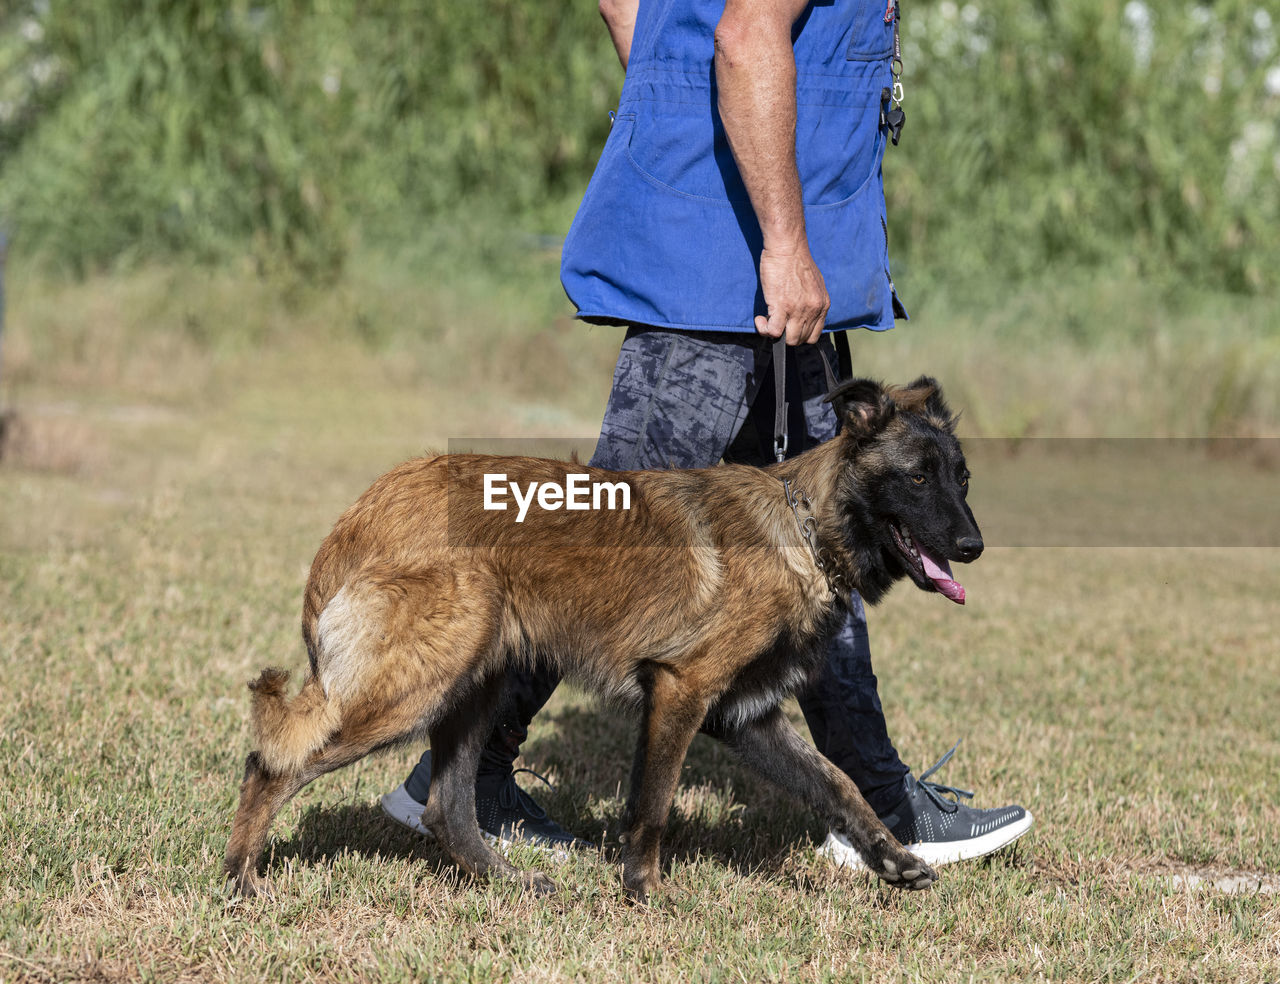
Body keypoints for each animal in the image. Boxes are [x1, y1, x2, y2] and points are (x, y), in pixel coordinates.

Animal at [222, 376, 977, 900]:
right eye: (917, 477)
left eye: (963, 477)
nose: (973, 545)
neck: (806, 527)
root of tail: (362, 512)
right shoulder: (681, 690)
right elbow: (653, 803)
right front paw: (644, 890)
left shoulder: (747, 716)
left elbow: (838, 783)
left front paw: (894, 857)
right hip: (412, 691)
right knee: (273, 765)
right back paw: (240, 880)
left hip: (474, 687)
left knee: (447, 808)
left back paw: (512, 883)